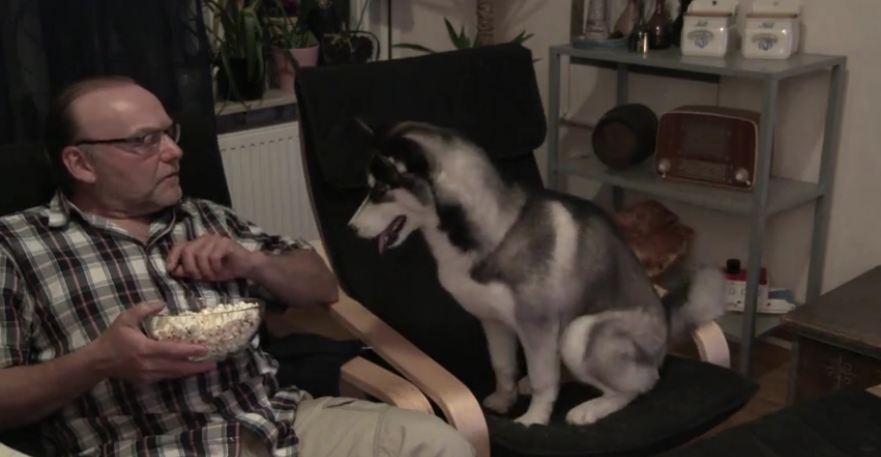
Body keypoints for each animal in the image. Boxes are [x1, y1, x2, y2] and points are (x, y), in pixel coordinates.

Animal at [348, 122, 724, 428]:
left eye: (380, 190)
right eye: (368, 188)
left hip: (579, 331)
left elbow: (545, 380)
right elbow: (502, 366)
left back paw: (590, 408)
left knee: (640, 384)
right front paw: (505, 399)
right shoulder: (493, 321)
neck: (497, 228)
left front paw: (535, 418)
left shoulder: (537, 322)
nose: (350, 229)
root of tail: (666, 329)